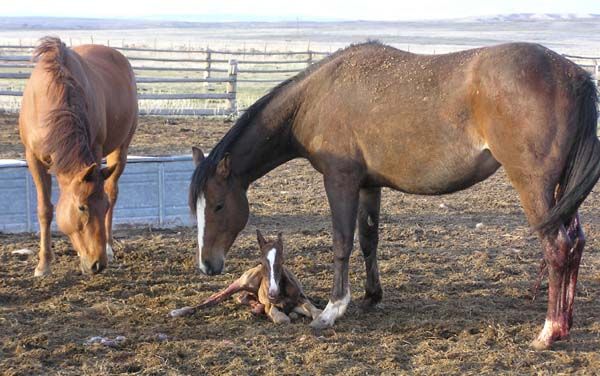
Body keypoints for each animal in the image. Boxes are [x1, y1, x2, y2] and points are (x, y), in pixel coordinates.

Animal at [19, 36, 138, 274]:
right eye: (82, 207)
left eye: (103, 207)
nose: (98, 264)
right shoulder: (33, 158)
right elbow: (45, 209)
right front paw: (44, 264)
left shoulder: (96, 149)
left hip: (121, 149)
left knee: (112, 189)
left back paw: (109, 246)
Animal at [169, 229, 322, 324]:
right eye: (262, 262)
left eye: (282, 262)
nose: (273, 293)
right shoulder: (270, 305)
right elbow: (282, 318)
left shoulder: (300, 298)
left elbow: (314, 310)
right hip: (242, 282)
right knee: (217, 297)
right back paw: (179, 311)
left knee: (242, 297)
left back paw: (255, 307)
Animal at [189, 41, 600, 350]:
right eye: (197, 208)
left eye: (219, 205)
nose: (208, 265)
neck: (316, 97)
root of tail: (575, 75)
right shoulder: (369, 185)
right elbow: (368, 239)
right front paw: (371, 296)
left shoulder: (340, 180)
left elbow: (342, 242)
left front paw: (332, 309)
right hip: (561, 192)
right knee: (575, 243)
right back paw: (565, 323)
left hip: (535, 186)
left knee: (558, 247)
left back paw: (548, 332)